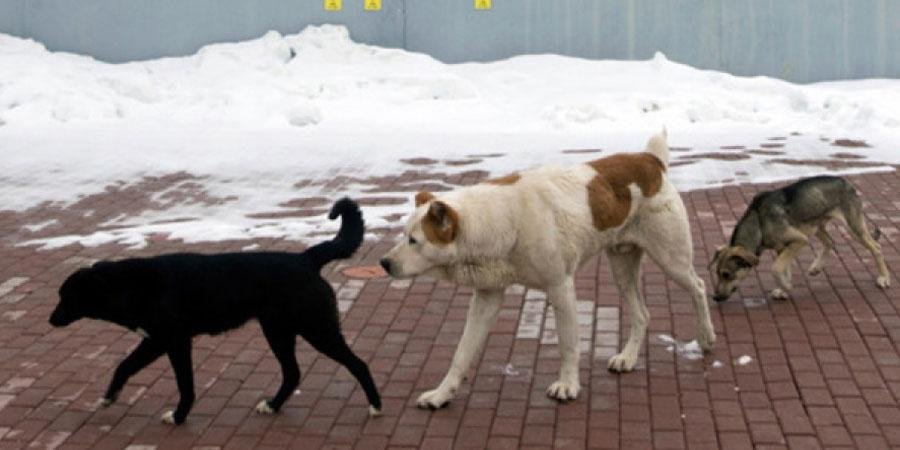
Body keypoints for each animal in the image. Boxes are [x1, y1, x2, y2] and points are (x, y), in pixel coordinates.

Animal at [49, 198, 381, 424]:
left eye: (67, 297)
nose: (50, 320)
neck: (134, 285)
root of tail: (306, 258)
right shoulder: (156, 341)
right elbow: (125, 366)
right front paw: (110, 396)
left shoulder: (173, 342)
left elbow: (183, 384)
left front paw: (178, 416)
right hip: (278, 331)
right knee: (292, 373)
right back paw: (272, 405)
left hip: (316, 329)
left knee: (358, 364)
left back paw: (376, 406)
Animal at [380, 130, 716, 409]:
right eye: (403, 235)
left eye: (414, 240)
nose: (383, 263)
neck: (501, 220)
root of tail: (649, 159)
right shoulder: (486, 298)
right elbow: (461, 353)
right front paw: (441, 394)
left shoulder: (560, 288)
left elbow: (568, 344)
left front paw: (568, 385)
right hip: (622, 268)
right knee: (643, 314)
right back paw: (628, 358)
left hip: (671, 258)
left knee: (698, 287)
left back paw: (706, 336)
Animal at [710, 175, 890, 301]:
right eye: (717, 273)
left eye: (726, 274)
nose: (715, 298)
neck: (759, 222)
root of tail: (846, 182)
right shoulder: (783, 248)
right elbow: (783, 268)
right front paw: (783, 289)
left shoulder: (800, 240)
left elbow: (776, 268)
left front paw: (786, 287)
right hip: (816, 226)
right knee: (830, 242)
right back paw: (817, 267)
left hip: (852, 229)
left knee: (877, 248)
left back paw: (884, 278)